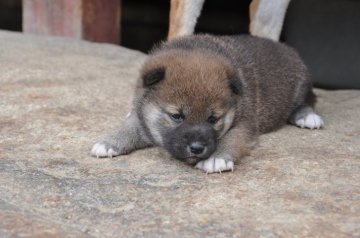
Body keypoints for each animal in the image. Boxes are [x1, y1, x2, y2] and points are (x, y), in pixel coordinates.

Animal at [90, 34, 324, 173]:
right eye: (177, 116)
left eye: (213, 119)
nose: (197, 148)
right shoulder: (142, 115)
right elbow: (130, 127)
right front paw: (110, 142)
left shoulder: (244, 123)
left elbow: (232, 139)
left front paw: (217, 158)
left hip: (301, 84)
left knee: (307, 100)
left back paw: (307, 116)